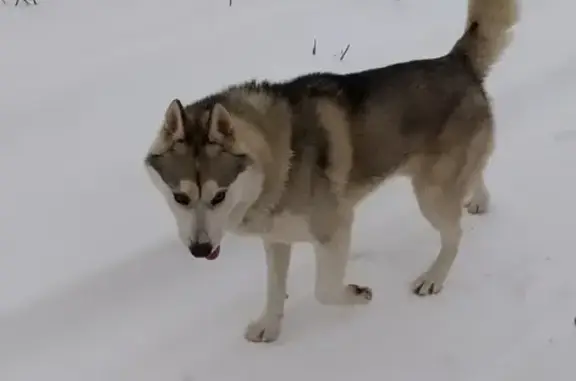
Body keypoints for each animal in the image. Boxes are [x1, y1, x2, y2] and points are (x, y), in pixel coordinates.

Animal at [143, 0, 516, 342]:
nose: (200, 249)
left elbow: (324, 290)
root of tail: (456, 62)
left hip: (430, 194)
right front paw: (269, 327)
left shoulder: (334, 228)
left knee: (454, 234)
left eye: (219, 196)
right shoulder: (276, 238)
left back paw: (433, 277)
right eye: (180, 197)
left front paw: (357, 294)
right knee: (475, 175)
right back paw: (479, 200)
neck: (278, 157)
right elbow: (275, 289)